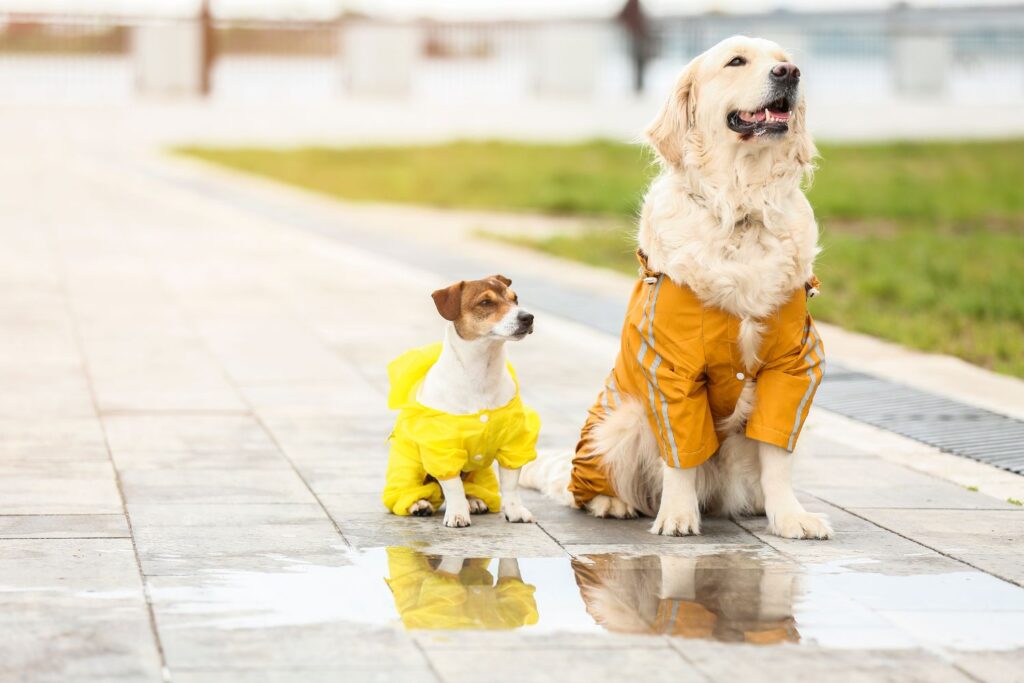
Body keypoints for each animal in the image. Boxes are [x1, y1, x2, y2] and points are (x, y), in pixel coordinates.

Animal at [385, 276, 540, 528]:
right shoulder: (442, 448)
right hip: (409, 466)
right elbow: (453, 486)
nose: (527, 317)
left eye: (515, 299)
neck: (481, 372)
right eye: (486, 302)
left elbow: (510, 484)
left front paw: (515, 511)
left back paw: (474, 500)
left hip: (481, 473)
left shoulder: (513, 442)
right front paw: (458, 513)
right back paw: (419, 504)